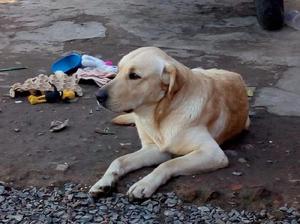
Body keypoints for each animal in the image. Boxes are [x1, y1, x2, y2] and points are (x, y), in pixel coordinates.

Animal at [89, 46, 248, 199]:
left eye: (134, 76)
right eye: (118, 70)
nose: (98, 96)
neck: (159, 115)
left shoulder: (213, 153)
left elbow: (168, 164)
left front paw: (144, 184)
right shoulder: (154, 149)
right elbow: (119, 160)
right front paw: (103, 182)